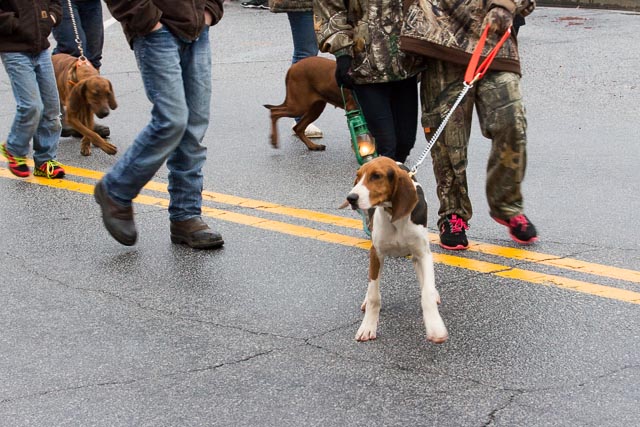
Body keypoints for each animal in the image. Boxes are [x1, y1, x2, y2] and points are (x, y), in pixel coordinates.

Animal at [342, 157, 448, 344]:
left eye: (376, 176)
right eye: (358, 176)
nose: (351, 197)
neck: (393, 215)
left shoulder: (423, 254)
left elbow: (427, 292)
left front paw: (435, 327)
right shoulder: (376, 254)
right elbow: (374, 295)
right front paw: (368, 326)